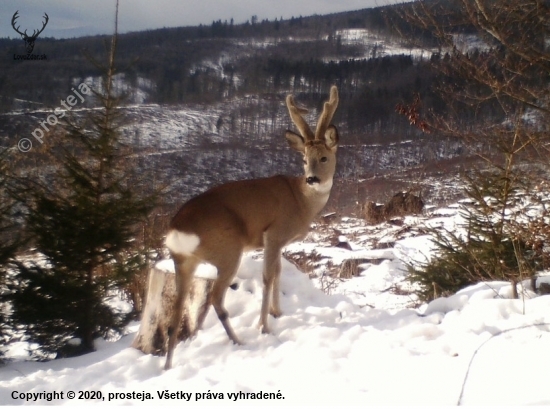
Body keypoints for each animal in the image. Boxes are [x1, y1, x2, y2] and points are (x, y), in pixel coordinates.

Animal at [164, 84, 338, 368]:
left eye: (324, 158)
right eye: (304, 159)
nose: (312, 179)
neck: (301, 201)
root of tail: (177, 229)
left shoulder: (279, 242)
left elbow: (278, 272)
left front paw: (278, 312)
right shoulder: (273, 233)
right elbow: (268, 276)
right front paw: (264, 325)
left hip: (184, 261)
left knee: (176, 310)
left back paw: (168, 365)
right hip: (227, 250)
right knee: (215, 297)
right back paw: (238, 340)